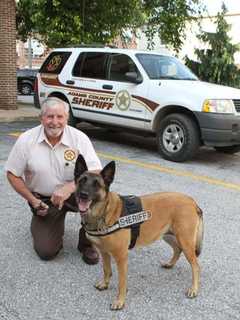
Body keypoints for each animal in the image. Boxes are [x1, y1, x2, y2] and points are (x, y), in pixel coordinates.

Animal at [74, 155, 203, 310]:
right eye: (82, 181)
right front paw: (105, 284)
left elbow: (122, 282)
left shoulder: (121, 257)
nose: (83, 195)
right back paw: (170, 264)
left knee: (196, 266)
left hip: (184, 240)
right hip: (169, 236)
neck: (103, 213)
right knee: (177, 250)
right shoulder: (104, 252)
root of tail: (192, 201)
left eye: (96, 184)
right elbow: (106, 270)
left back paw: (194, 289)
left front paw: (120, 301)